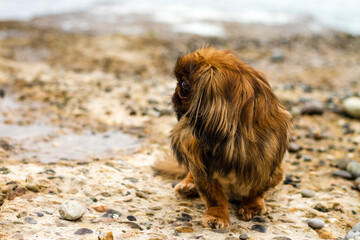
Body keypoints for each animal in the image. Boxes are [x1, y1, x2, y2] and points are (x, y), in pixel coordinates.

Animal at [153, 47, 292, 229]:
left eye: (183, 85)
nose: (174, 93)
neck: (230, 140)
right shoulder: (202, 171)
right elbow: (215, 198)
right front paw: (217, 216)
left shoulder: (268, 167)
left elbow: (256, 191)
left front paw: (252, 206)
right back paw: (188, 185)